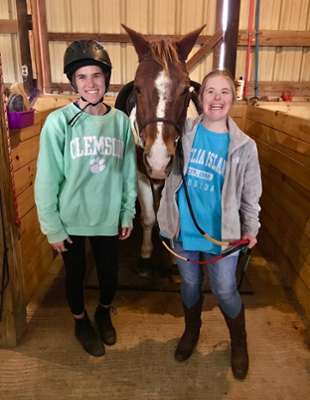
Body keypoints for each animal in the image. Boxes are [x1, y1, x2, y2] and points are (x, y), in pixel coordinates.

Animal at [115, 24, 203, 276]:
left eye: (185, 90)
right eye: (137, 88)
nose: (158, 161)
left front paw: (176, 261)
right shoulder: (142, 176)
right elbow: (148, 217)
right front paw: (145, 257)